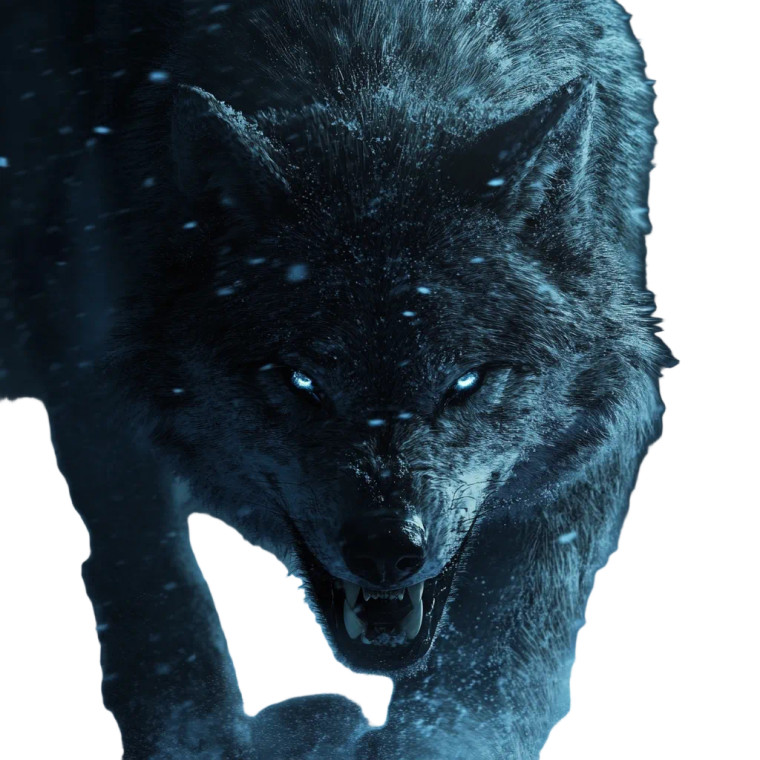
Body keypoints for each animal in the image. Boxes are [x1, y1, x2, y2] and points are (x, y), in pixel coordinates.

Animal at [1, 0, 674, 758]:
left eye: (465, 383)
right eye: (300, 382)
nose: (386, 550)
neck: (378, 57)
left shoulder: (611, 425)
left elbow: (498, 662)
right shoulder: (95, 389)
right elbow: (159, 599)